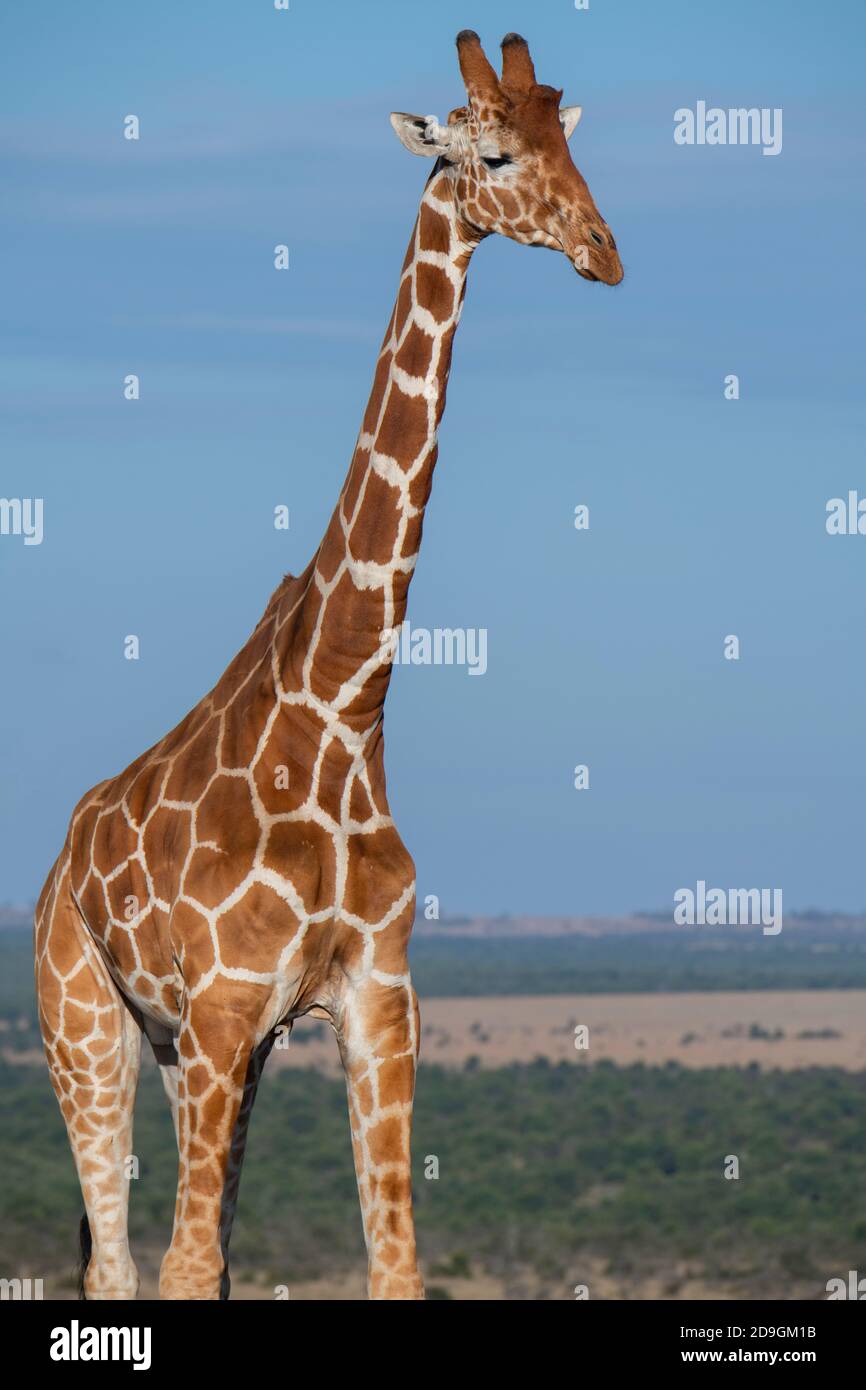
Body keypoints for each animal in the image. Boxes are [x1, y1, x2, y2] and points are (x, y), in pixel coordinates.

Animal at [34, 31, 623, 1302]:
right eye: (493, 155)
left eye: (571, 149)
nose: (603, 252)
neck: (345, 704)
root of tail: (57, 870)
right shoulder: (218, 1008)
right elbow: (184, 1265)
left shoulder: (373, 1002)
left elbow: (390, 1264)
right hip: (87, 1027)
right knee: (119, 1262)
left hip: (194, 1055)